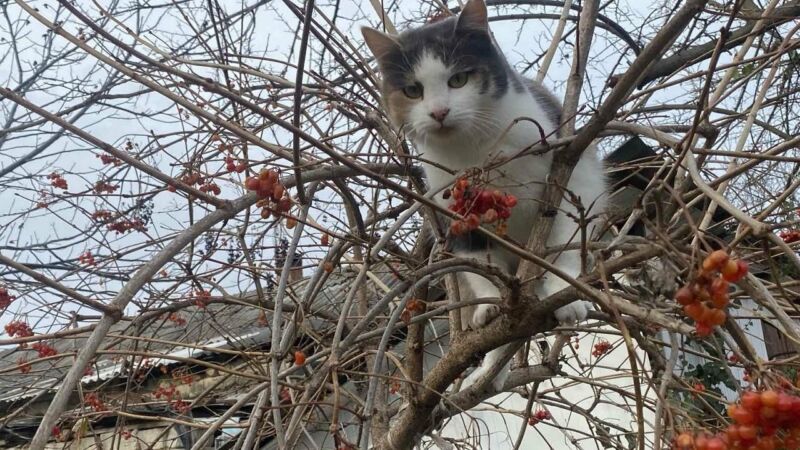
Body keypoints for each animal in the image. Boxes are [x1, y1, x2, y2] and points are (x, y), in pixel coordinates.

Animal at [362, 0, 608, 390]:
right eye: (413, 90)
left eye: (458, 80)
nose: (439, 112)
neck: (474, 150)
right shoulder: (451, 208)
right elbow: (479, 264)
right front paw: (491, 307)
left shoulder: (573, 173)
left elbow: (563, 243)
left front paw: (562, 293)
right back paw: (489, 369)